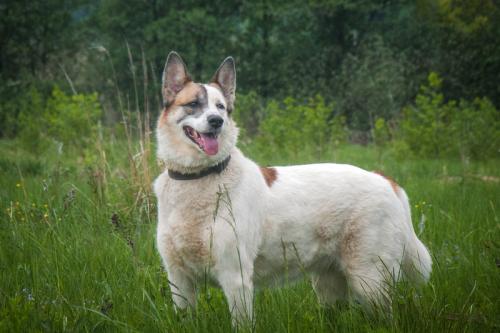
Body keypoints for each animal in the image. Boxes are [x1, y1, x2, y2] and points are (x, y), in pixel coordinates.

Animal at [154, 52, 432, 324]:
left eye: (220, 107)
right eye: (193, 104)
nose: (217, 121)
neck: (200, 176)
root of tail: (385, 179)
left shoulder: (235, 277)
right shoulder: (178, 280)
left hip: (370, 279)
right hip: (330, 285)